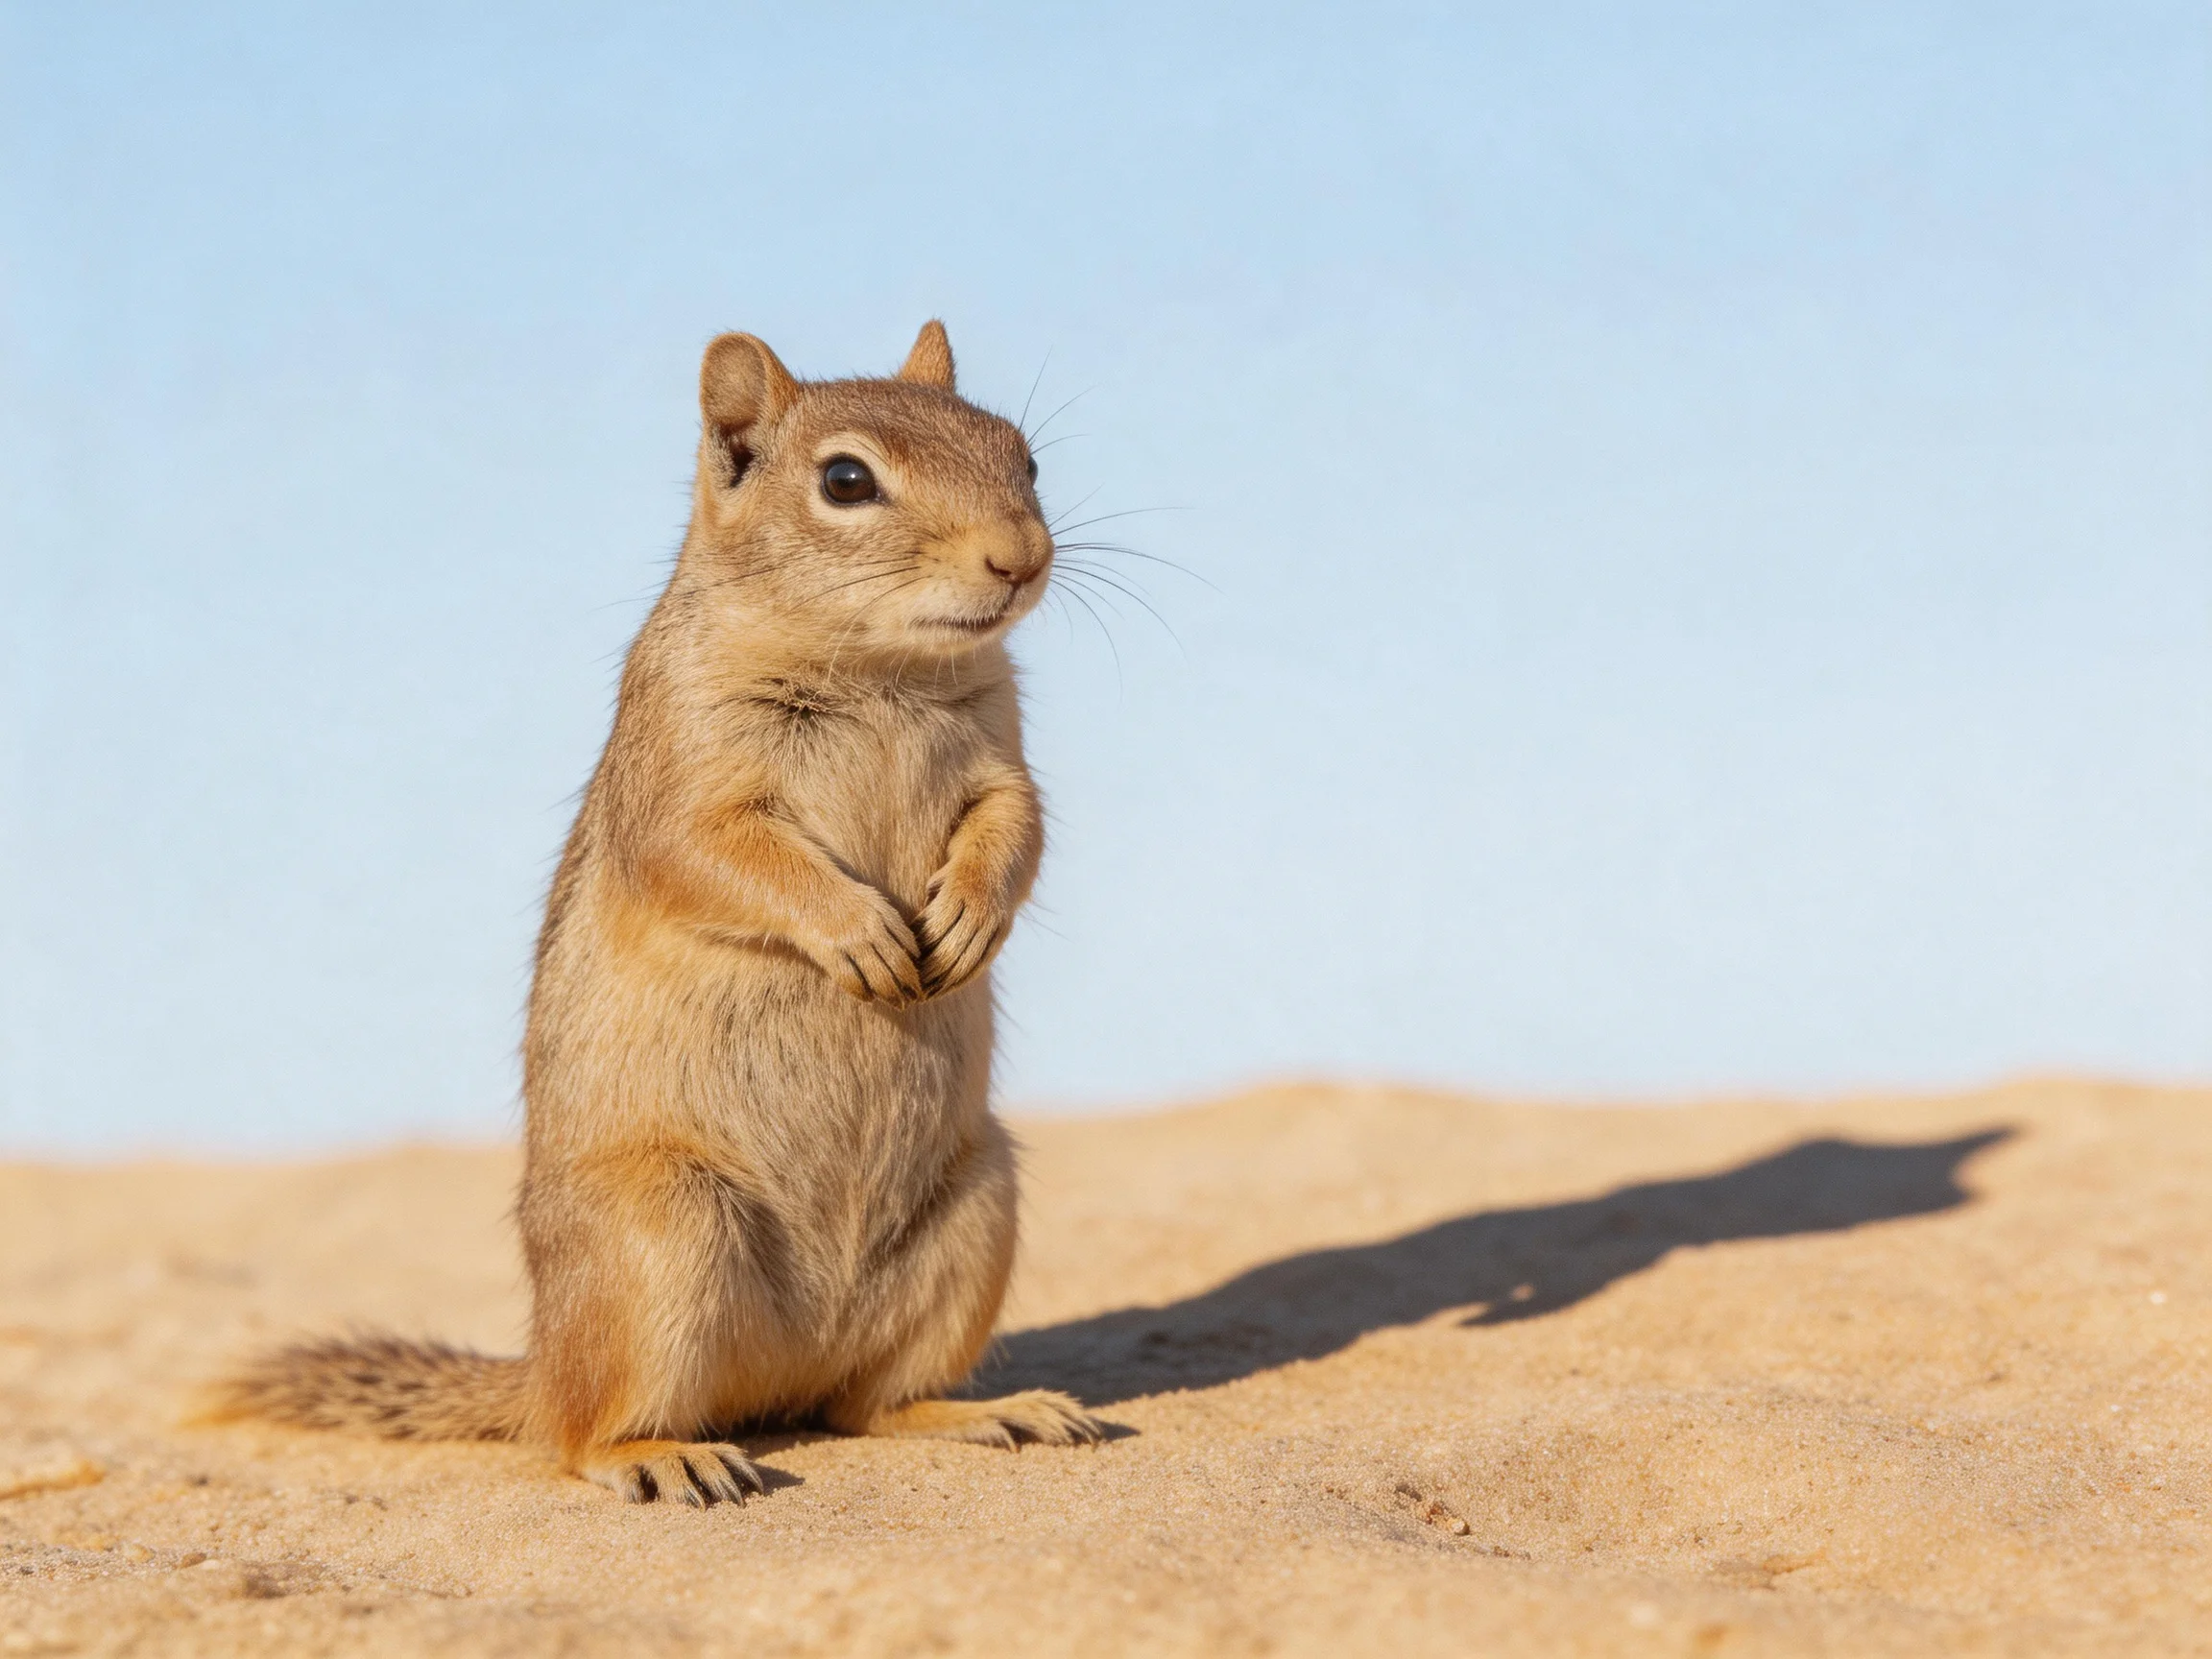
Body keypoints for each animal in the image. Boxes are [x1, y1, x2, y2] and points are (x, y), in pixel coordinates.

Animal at [203, 321, 1104, 1503]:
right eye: (846, 480)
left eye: (1024, 458)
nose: (1021, 558)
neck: (883, 672)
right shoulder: (679, 777)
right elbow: (718, 855)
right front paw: (861, 931)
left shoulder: (1003, 752)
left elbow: (1017, 824)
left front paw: (967, 917)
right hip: (661, 1230)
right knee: (584, 1435)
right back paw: (663, 1455)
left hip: (976, 1209)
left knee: (863, 1406)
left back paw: (985, 1410)